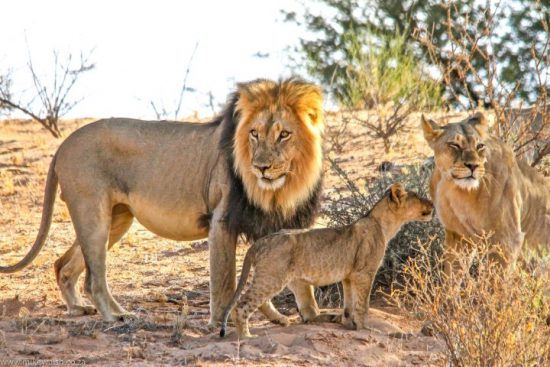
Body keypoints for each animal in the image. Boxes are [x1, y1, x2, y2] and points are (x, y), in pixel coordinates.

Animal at [0, 78, 326, 324]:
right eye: (254, 134)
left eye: (284, 135)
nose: (261, 167)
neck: (279, 190)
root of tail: (64, 144)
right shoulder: (221, 220)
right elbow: (225, 279)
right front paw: (220, 322)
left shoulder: (277, 225)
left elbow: (283, 277)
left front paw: (304, 316)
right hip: (92, 212)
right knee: (93, 278)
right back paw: (116, 317)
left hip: (116, 219)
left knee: (63, 265)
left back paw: (82, 309)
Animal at [220, 184, 436, 340]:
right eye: (418, 197)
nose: (433, 204)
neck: (384, 224)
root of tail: (260, 242)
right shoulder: (364, 272)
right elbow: (363, 305)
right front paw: (365, 329)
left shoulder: (349, 276)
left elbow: (350, 304)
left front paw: (349, 323)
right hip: (272, 276)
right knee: (244, 303)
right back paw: (246, 336)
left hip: (292, 281)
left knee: (301, 312)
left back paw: (287, 321)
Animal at [424, 113, 548, 276]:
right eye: (455, 145)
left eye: (479, 146)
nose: (473, 166)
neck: (456, 190)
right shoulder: (457, 235)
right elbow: (451, 275)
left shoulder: (507, 239)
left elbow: (495, 281)